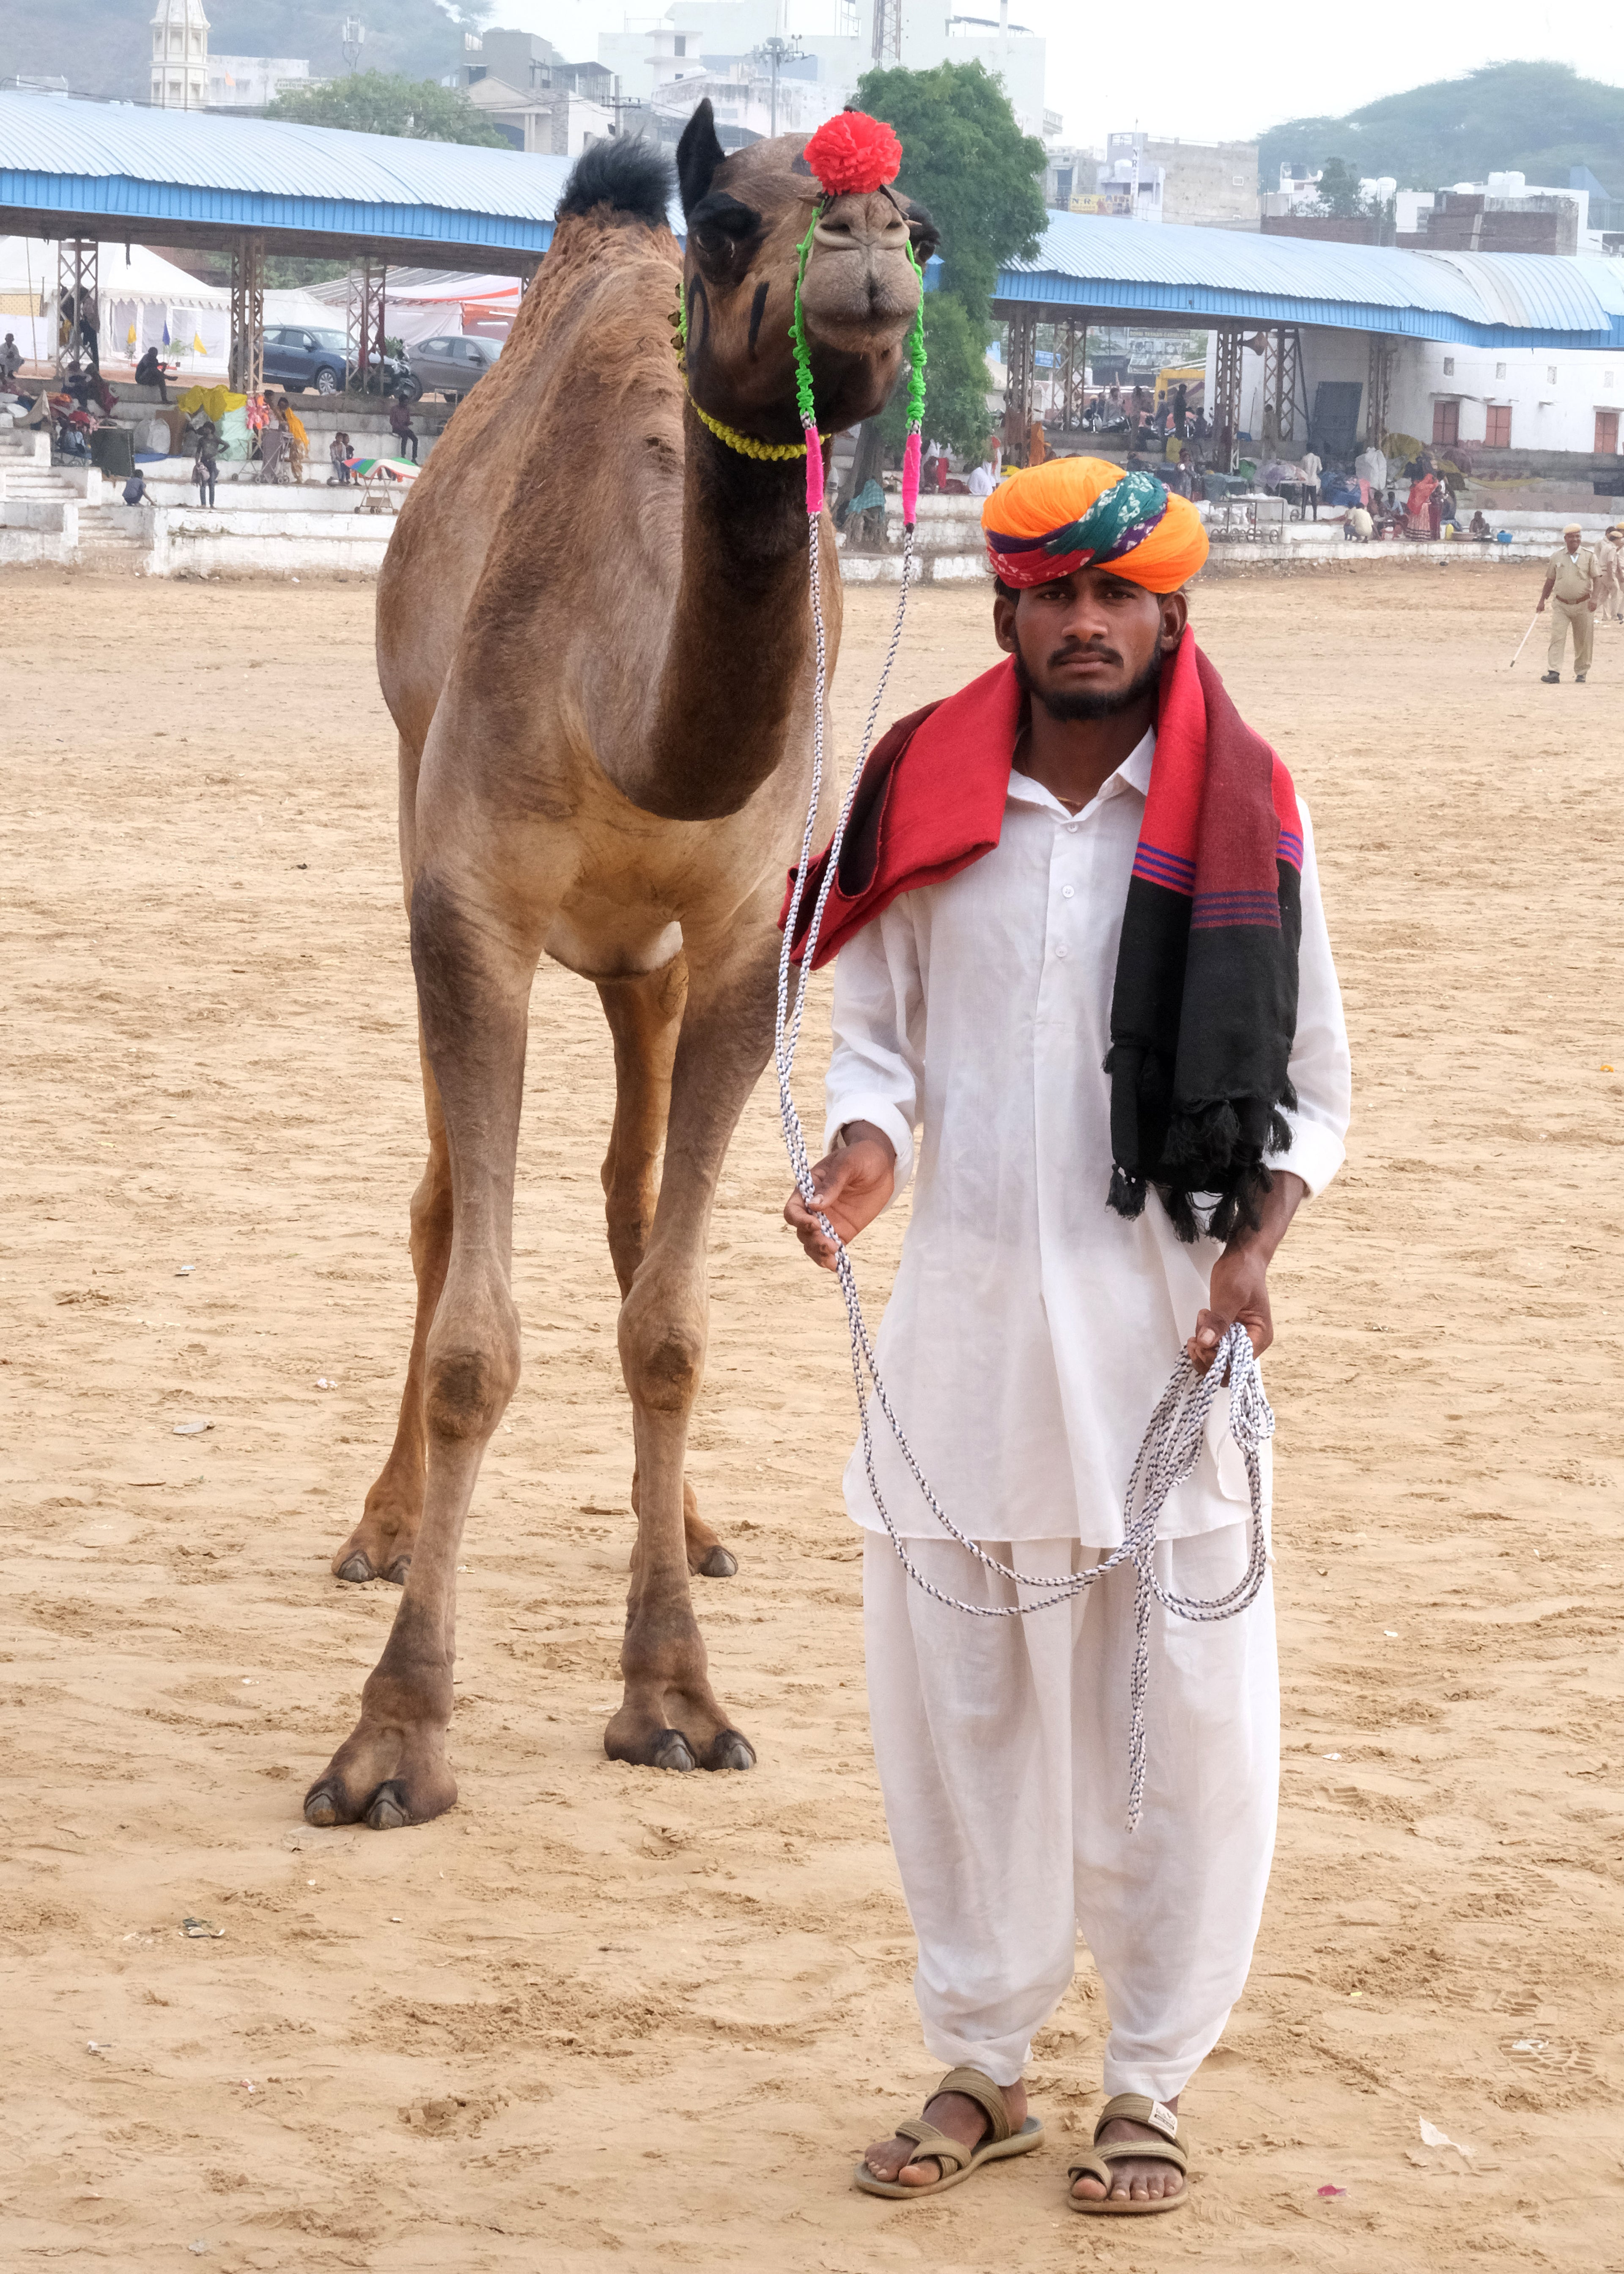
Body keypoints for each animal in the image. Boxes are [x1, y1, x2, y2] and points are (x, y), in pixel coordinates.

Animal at [302, 106, 937, 1828]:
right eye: (725, 224)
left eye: (917, 219)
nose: (866, 256)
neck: (628, 710)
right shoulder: (470, 906)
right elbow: (473, 1324)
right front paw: (393, 1737)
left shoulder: (740, 940)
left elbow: (671, 1319)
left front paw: (676, 1696)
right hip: (415, 804)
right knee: (441, 1206)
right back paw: (379, 1523)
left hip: (641, 970)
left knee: (631, 1196)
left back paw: (699, 1525)